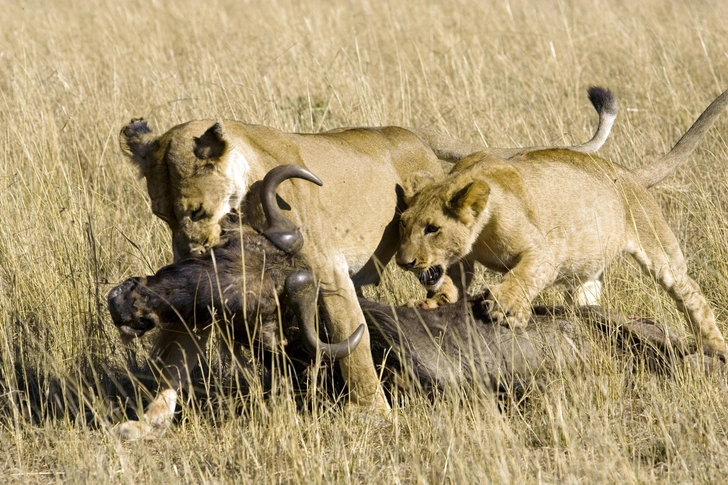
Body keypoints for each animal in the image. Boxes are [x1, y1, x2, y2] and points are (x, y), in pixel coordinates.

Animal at [118, 87, 616, 412]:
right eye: (161, 215)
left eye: (197, 210)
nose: (190, 251)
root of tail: (411, 134)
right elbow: (176, 349)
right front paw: (145, 422)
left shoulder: (326, 268)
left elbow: (350, 342)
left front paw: (373, 413)